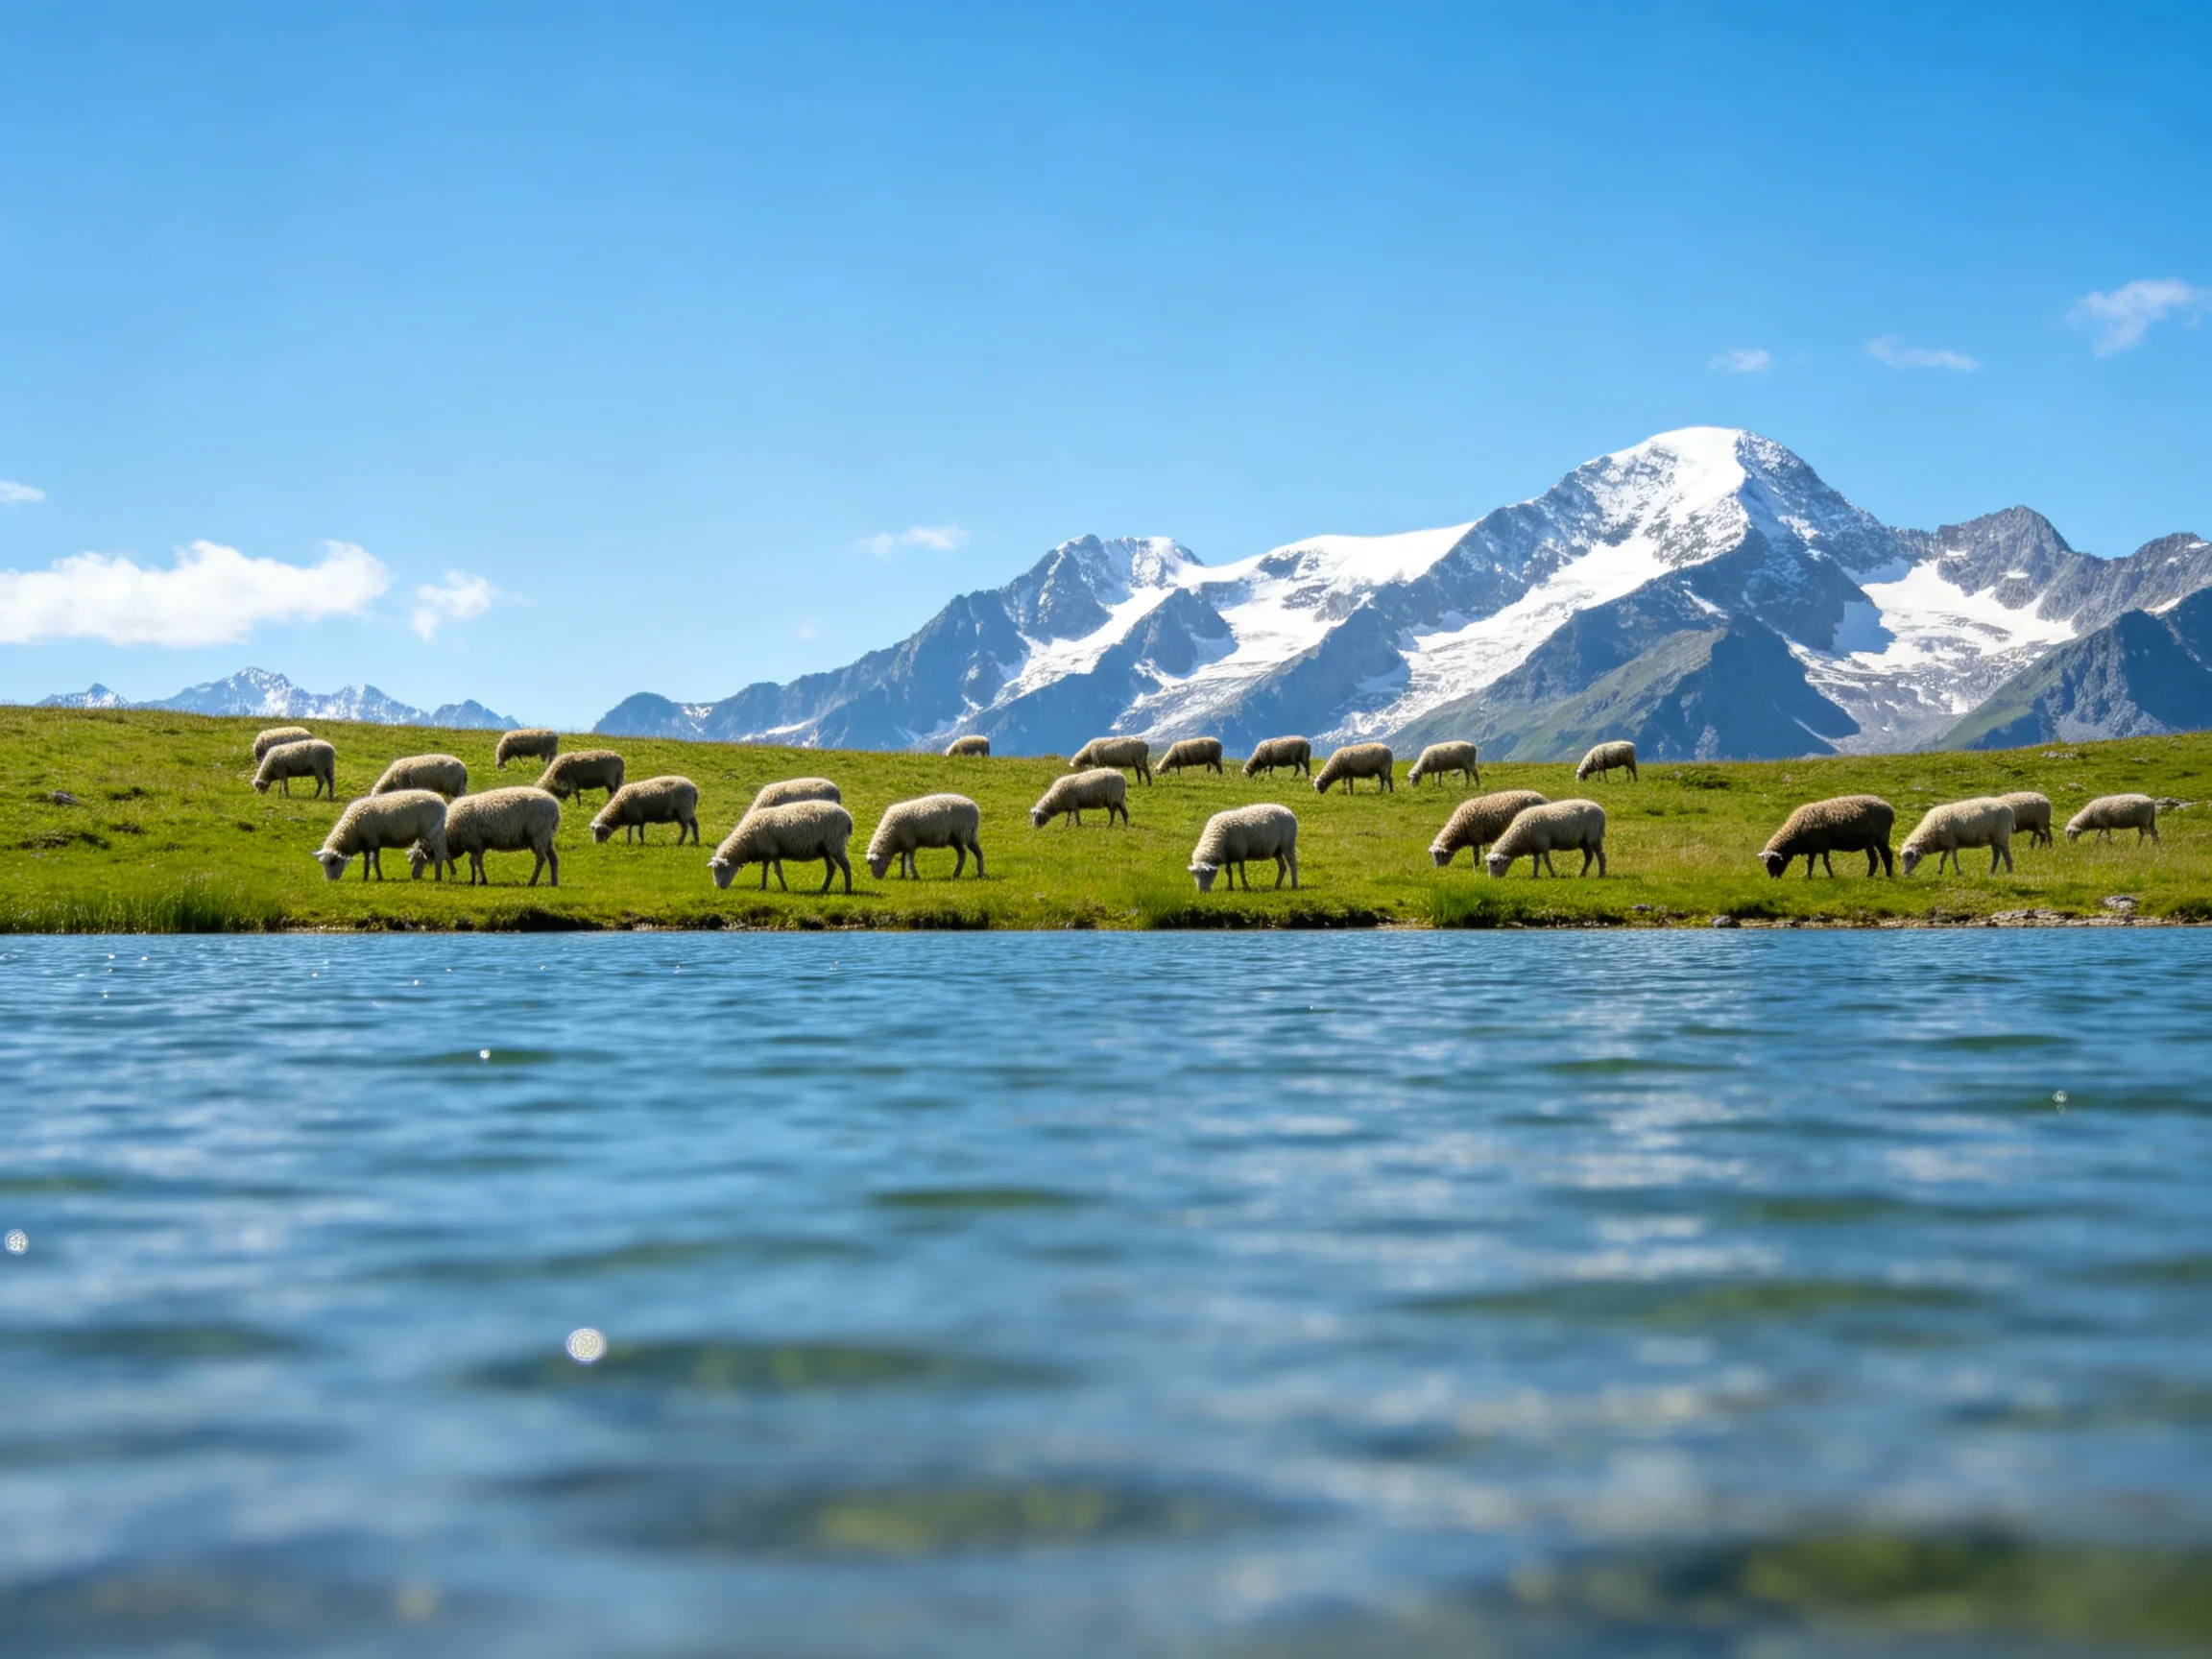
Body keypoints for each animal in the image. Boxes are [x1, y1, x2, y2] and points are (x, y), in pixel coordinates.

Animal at [315, 789, 448, 883]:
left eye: (332, 862)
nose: (329, 882)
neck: (352, 827)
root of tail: (441, 802)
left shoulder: (373, 841)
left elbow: (375, 861)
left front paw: (379, 877)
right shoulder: (367, 844)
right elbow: (367, 862)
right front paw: (365, 877)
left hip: (432, 833)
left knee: (439, 854)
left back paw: (438, 877)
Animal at [410, 786, 561, 886]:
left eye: (421, 858)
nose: (414, 877)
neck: (448, 832)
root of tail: (555, 807)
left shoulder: (476, 843)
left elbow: (478, 863)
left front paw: (483, 880)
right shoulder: (473, 843)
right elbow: (472, 862)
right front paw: (472, 880)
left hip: (539, 834)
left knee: (541, 859)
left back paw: (532, 881)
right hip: (546, 837)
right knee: (553, 859)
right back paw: (554, 882)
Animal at [708, 800, 853, 893]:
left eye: (722, 869)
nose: (719, 887)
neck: (747, 840)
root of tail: (848, 817)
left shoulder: (773, 851)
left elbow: (778, 871)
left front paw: (784, 889)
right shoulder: (766, 852)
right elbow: (764, 870)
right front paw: (762, 887)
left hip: (835, 843)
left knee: (846, 866)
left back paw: (847, 890)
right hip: (825, 848)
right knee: (831, 868)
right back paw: (823, 889)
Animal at [1758, 795, 1897, 878]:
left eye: (1773, 862)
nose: (1773, 879)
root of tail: (1888, 807)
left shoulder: (1824, 845)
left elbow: (1825, 862)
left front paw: (1831, 876)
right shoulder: (1812, 848)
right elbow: (1810, 863)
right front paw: (1807, 876)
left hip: (1879, 838)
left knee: (1884, 856)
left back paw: (1882, 875)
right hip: (1871, 841)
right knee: (1876, 859)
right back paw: (1875, 875)